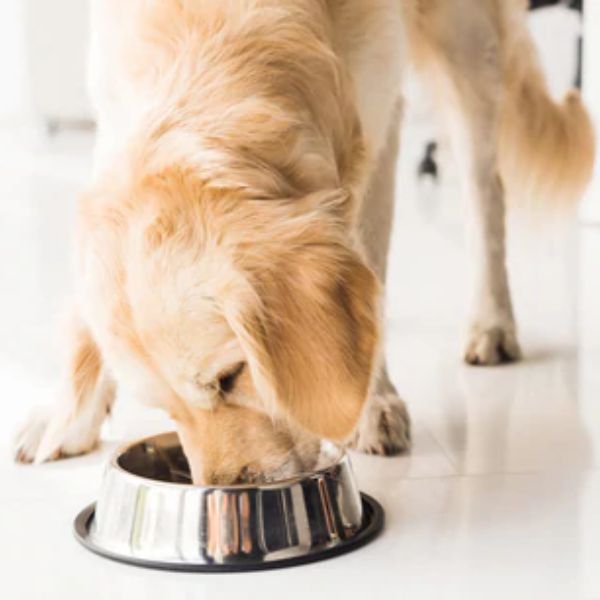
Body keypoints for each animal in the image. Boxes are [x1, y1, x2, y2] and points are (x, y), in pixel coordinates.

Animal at [14, 0, 596, 482]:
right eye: (164, 409)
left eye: (231, 377)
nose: (227, 490)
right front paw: (66, 414)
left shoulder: (373, 115)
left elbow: (368, 262)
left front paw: (371, 402)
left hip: (466, 41)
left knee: (485, 192)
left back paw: (492, 322)